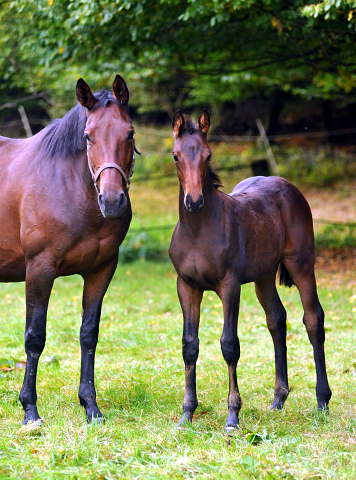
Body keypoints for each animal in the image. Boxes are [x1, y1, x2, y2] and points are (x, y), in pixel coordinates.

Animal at [0, 74, 138, 424]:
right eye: (88, 137)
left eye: (129, 133)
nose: (112, 201)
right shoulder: (39, 269)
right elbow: (35, 337)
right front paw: (30, 410)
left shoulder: (102, 269)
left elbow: (89, 333)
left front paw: (90, 405)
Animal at [169, 109, 330, 432]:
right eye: (176, 155)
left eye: (207, 154)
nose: (194, 201)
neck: (198, 230)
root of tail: (286, 185)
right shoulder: (187, 286)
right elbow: (189, 345)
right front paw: (186, 415)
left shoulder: (229, 285)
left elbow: (229, 345)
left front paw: (233, 417)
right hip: (263, 276)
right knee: (276, 319)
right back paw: (278, 399)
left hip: (302, 265)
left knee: (313, 320)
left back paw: (322, 400)